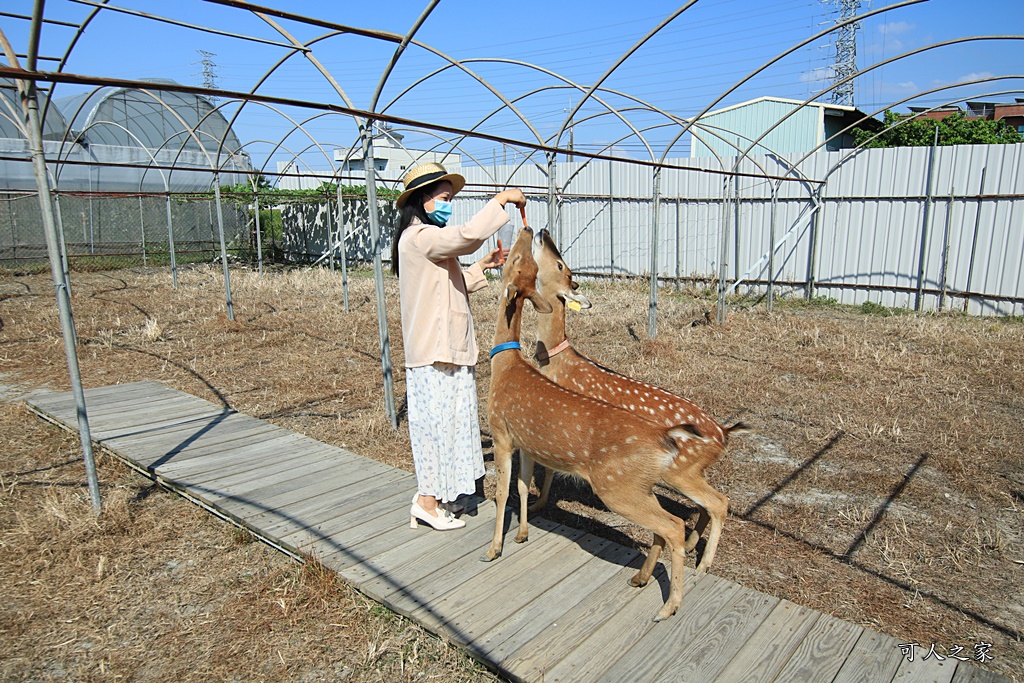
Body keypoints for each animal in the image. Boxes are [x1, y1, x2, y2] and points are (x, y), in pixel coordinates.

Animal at [487, 227, 720, 622]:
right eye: (525, 261)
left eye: (558, 265)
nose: (535, 230)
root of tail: (724, 435)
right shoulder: (529, 440)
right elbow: (524, 484)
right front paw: (526, 526)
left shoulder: (504, 433)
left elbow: (508, 489)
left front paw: (495, 547)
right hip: (646, 484)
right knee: (682, 517)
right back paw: (646, 576)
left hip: (630, 485)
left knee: (692, 516)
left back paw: (672, 601)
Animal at [528, 228, 753, 573]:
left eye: (560, 264)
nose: (543, 231)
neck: (557, 362)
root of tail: (724, 434)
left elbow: (549, 466)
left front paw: (536, 503)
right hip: (689, 471)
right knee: (705, 504)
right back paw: (691, 545)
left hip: (682, 470)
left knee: (719, 502)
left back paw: (703, 564)